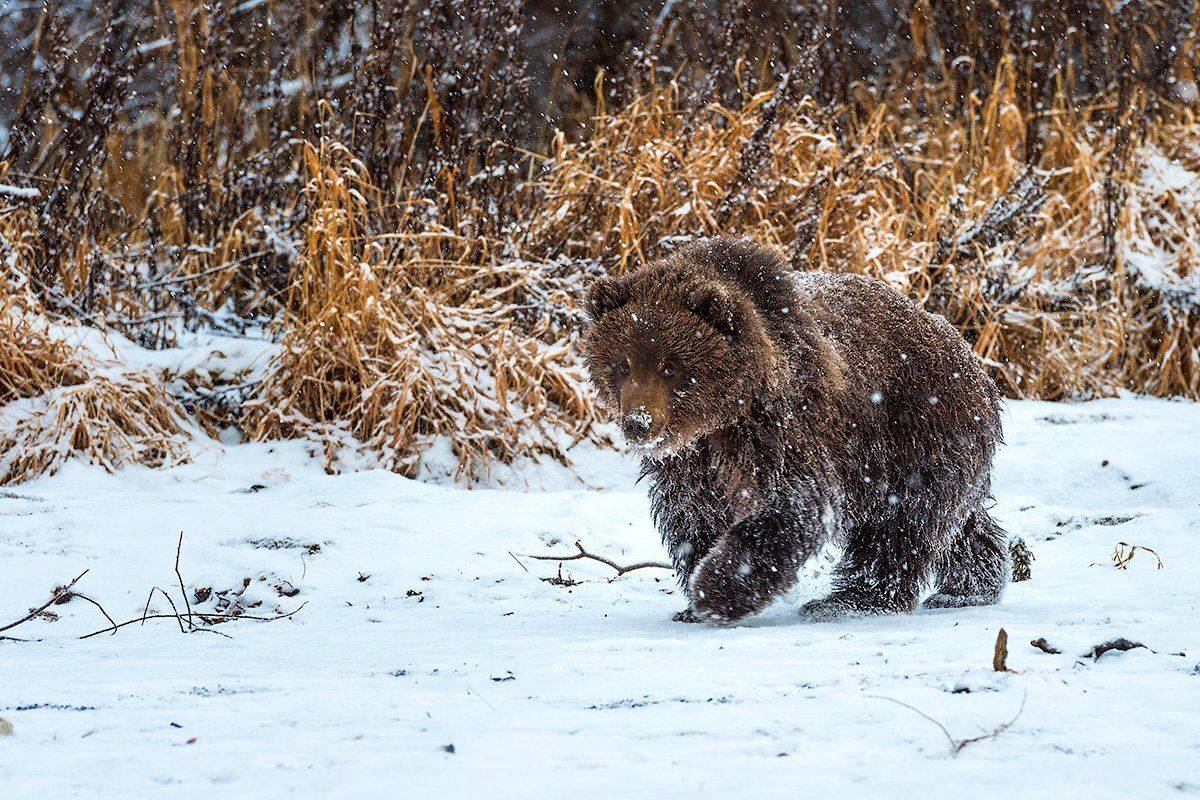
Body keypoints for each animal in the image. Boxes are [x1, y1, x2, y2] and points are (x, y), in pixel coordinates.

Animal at [581, 237, 1008, 623]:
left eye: (670, 366)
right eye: (622, 364)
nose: (639, 423)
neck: (724, 415)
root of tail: (967, 352)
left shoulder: (783, 427)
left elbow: (791, 504)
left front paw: (715, 590)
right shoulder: (690, 460)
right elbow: (692, 513)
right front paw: (695, 591)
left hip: (912, 431)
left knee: (900, 523)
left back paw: (848, 601)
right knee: (958, 520)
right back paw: (970, 586)